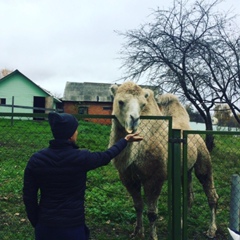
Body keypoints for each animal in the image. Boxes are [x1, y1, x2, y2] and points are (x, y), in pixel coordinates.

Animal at [109, 82, 218, 238]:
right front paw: (137, 232)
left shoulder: (155, 178)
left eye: (143, 104)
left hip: (203, 158)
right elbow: (138, 206)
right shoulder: (127, 178)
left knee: (211, 193)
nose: (134, 120)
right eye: (120, 101)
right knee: (189, 196)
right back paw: (182, 223)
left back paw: (211, 229)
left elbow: (152, 213)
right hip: (185, 169)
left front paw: (153, 236)